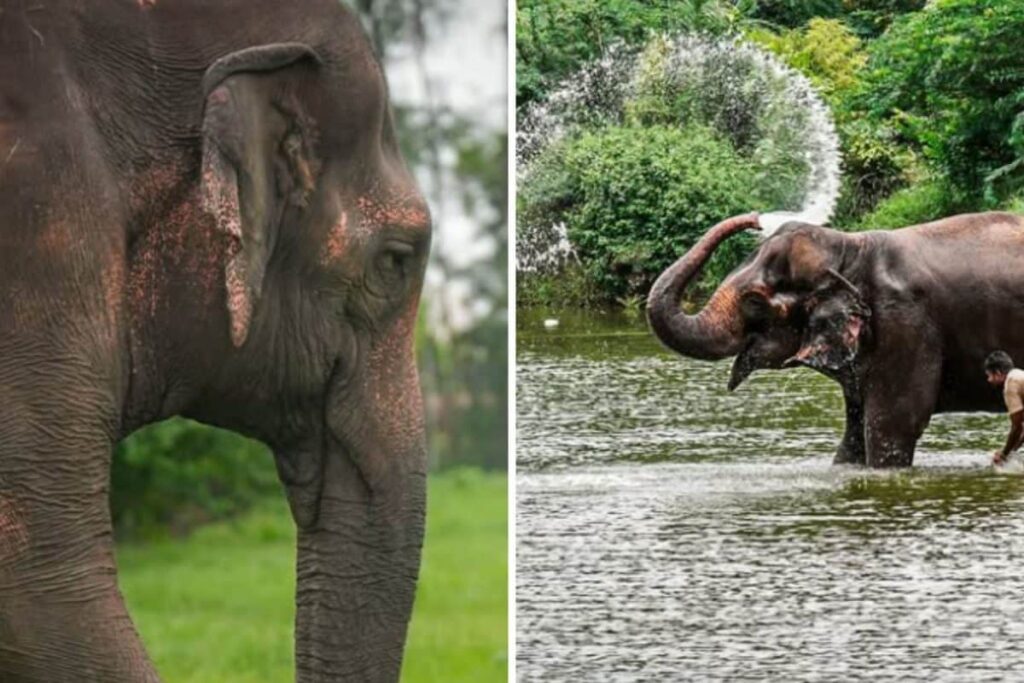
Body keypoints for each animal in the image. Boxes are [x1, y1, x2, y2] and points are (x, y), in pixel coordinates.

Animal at [647, 211, 1024, 468]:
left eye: (753, 301)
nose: (755, 219)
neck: (852, 246)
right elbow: (854, 433)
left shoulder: (907, 325)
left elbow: (893, 424)